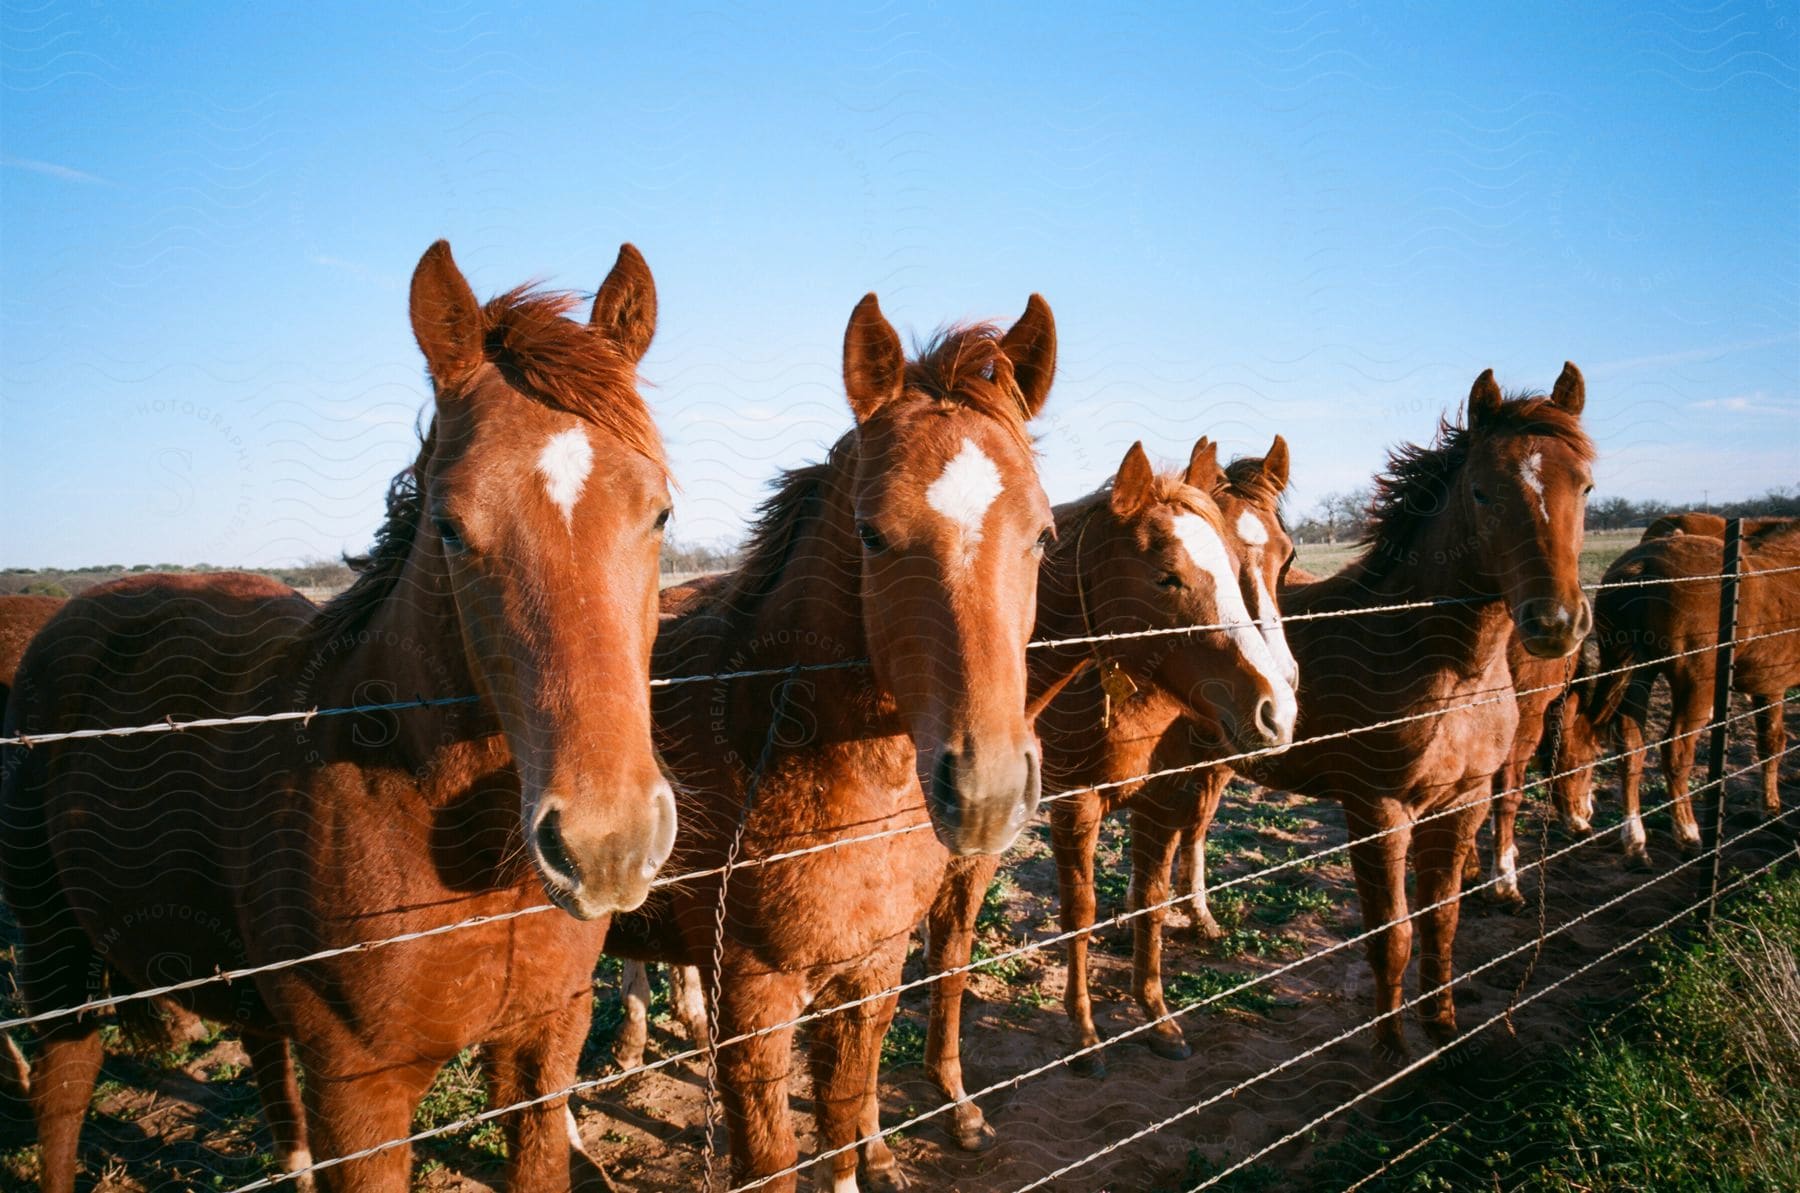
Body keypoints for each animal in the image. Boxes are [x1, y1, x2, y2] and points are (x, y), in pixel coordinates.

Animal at [1, 242, 676, 1193]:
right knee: (62, 1096)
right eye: (451, 527)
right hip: (54, 952)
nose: (605, 844)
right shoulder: (360, 1097)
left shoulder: (541, 1054)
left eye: (660, 512)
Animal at [604, 293, 1051, 1187]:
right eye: (873, 533)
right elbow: (776, 1159)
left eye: (1044, 533)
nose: (985, 792)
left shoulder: (872, 972)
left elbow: (844, 1123)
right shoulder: (754, 1004)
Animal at [1137, 368, 1591, 1058]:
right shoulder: (1378, 810)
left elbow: (1443, 922)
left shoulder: (1465, 802)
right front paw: (1393, 1050)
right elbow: (1393, 934)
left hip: (1214, 765)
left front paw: (1444, 1029)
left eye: (1586, 485)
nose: (1555, 623)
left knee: (1192, 834)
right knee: (1154, 851)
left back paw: (1203, 923)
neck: (1439, 665)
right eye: (1483, 492)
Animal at [1562, 521, 1800, 867]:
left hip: (1637, 671)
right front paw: (1772, 813)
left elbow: (1770, 743)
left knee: (1627, 744)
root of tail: (1643, 563)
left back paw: (1633, 840)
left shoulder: (1767, 688)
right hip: (1696, 685)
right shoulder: (1770, 687)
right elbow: (1773, 744)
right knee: (1675, 749)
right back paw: (1688, 834)